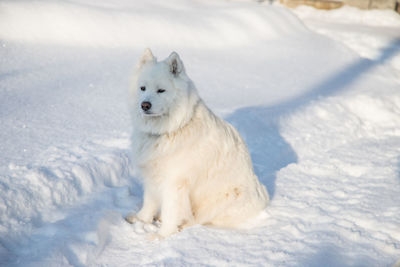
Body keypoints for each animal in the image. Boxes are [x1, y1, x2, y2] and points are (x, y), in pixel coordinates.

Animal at [126, 49, 268, 238]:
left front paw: (162, 236)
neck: (169, 129)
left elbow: (171, 211)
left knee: (197, 219)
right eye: (143, 88)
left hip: (225, 198)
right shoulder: (153, 175)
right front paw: (141, 220)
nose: (145, 105)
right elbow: (149, 202)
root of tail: (263, 197)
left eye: (161, 90)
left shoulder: (175, 182)